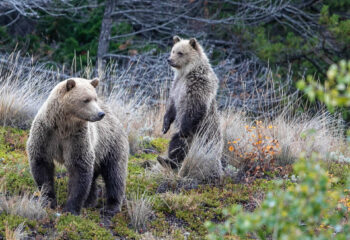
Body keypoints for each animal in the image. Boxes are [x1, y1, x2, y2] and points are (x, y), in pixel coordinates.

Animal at [27, 78, 129, 216]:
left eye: (95, 98)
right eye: (86, 99)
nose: (100, 114)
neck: (63, 126)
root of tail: (115, 117)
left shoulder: (77, 138)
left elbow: (79, 168)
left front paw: (71, 208)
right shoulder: (46, 134)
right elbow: (42, 165)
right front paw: (48, 200)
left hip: (111, 145)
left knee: (115, 174)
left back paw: (111, 207)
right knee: (96, 177)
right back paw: (90, 202)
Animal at [158, 35, 223, 171]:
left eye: (180, 53)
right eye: (173, 50)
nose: (169, 60)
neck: (186, 72)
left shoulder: (197, 85)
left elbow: (194, 107)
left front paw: (182, 129)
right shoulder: (176, 86)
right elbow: (172, 105)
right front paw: (165, 125)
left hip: (203, 135)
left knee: (182, 143)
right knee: (176, 143)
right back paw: (165, 161)